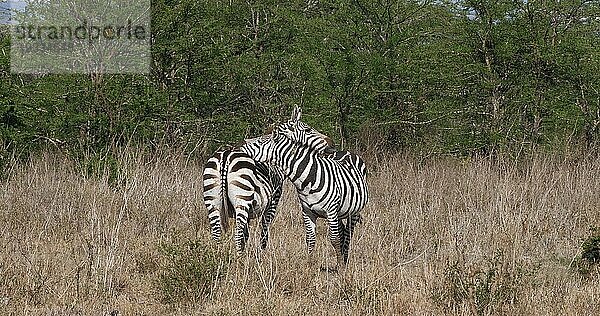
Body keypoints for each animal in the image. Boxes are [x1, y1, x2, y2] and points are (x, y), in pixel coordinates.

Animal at [241, 107, 368, 266]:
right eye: (307, 129)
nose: (332, 144)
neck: (309, 178)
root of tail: (345, 152)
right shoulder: (306, 211)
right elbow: (310, 239)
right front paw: (309, 265)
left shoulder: (330, 211)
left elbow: (334, 239)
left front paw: (339, 266)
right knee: (344, 232)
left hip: (354, 211)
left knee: (347, 233)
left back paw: (344, 259)